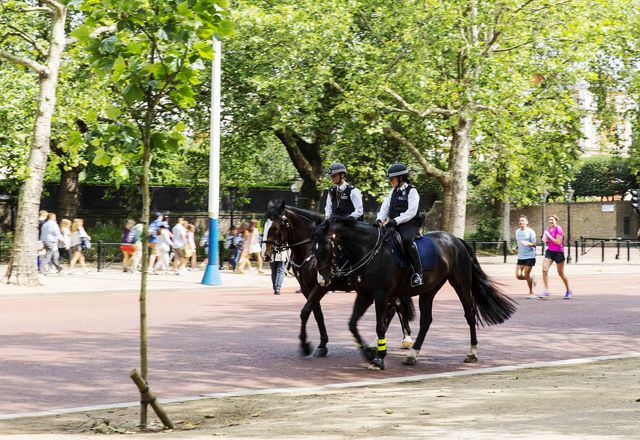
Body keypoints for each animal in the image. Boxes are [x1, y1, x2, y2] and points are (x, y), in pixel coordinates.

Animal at [264, 200, 416, 358]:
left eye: (274, 227)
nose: (266, 255)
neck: (309, 252)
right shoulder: (307, 288)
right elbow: (317, 314)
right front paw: (321, 344)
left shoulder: (321, 285)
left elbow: (305, 311)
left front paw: (306, 345)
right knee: (395, 307)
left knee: (396, 308)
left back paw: (403, 340)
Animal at [312, 218, 516, 370]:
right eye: (313, 247)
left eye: (325, 247)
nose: (322, 279)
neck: (370, 251)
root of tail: (456, 240)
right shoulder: (364, 295)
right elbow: (352, 324)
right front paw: (370, 353)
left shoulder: (380, 295)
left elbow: (379, 326)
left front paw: (378, 358)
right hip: (429, 290)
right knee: (426, 320)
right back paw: (412, 355)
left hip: (461, 285)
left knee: (470, 314)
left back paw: (472, 353)